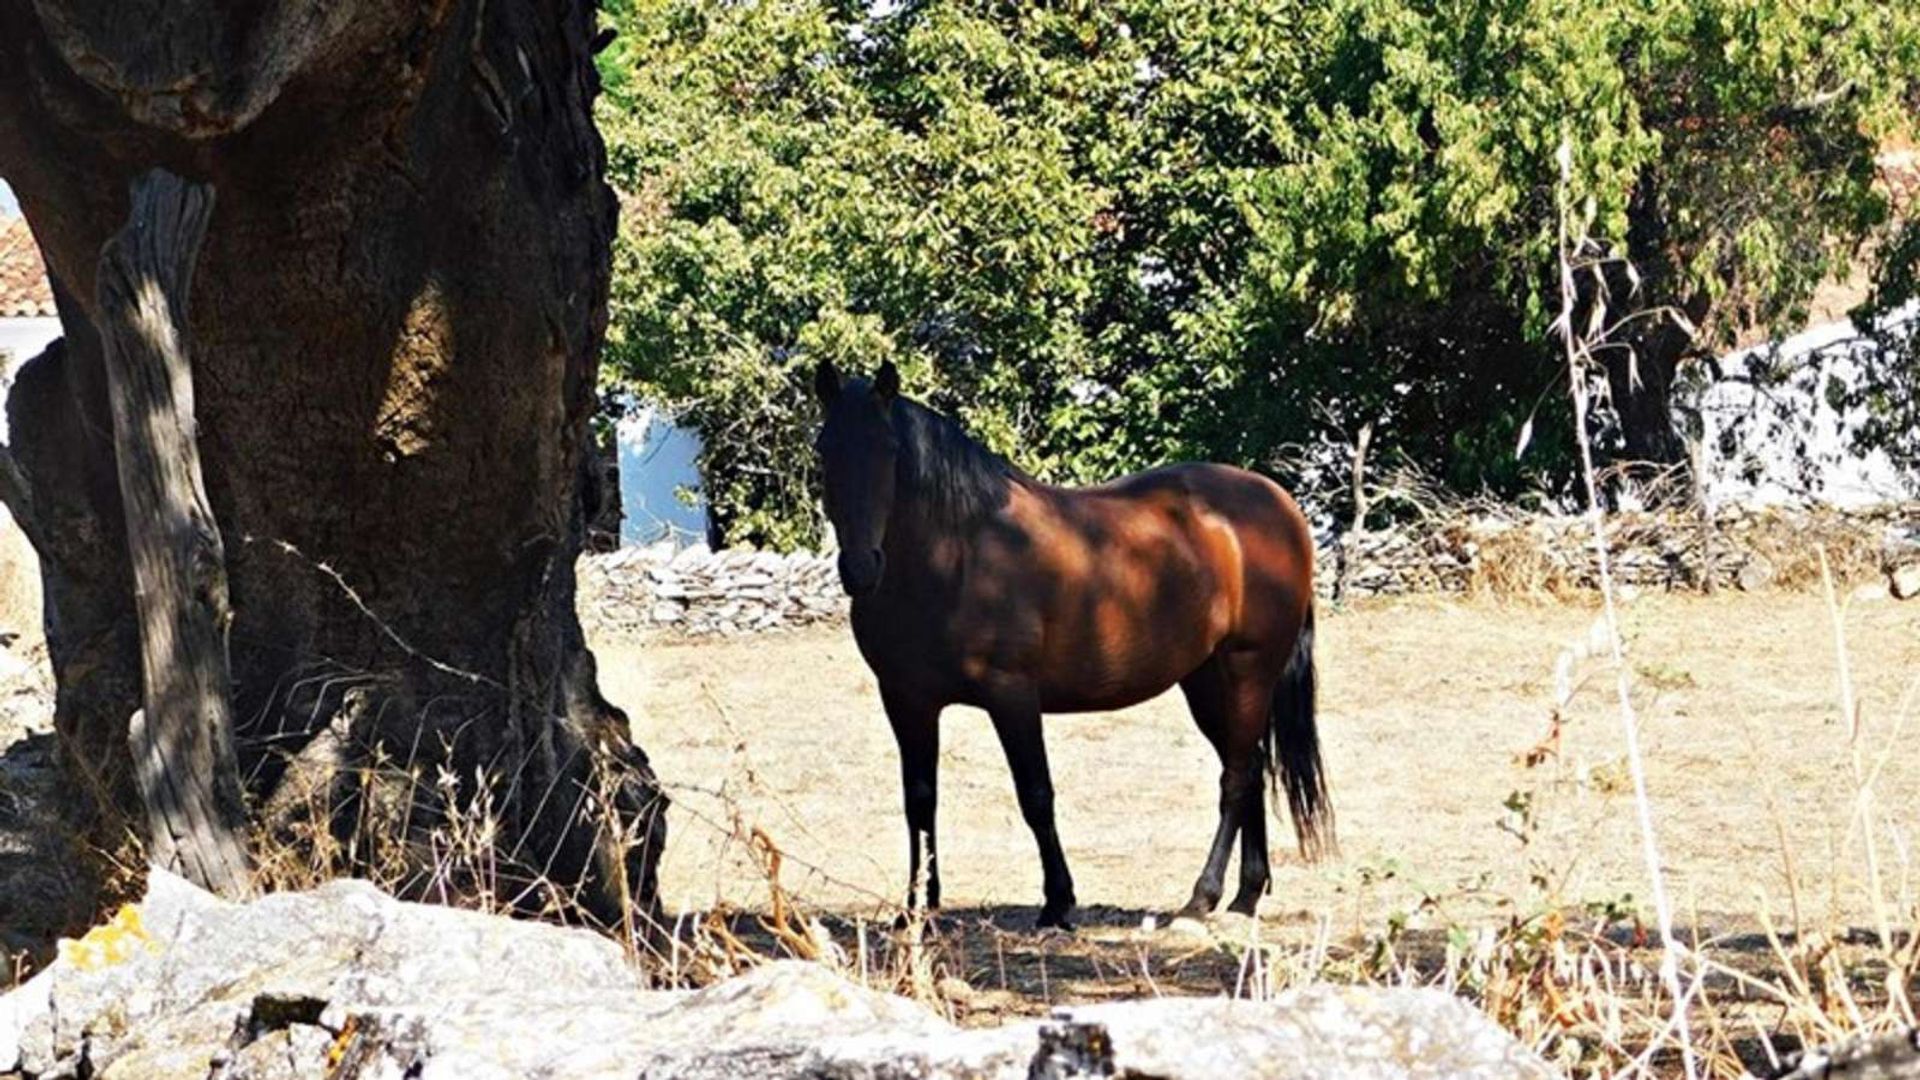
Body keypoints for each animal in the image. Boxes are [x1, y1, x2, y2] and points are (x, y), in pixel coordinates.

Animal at [814, 359, 1336, 926]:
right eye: (824, 448)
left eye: (890, 448)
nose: (860, 568)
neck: (955, 557)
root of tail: (1279, 504)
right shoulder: (907, 701)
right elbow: (920, 801)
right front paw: (917, 909)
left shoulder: (1012, 694)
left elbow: (1036, 795)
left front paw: (1058, 901)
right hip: (1206, 681)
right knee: (1250, 767)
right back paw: (1245, 896)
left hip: (1248, 670)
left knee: (1237, 778)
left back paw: (1202, 898)